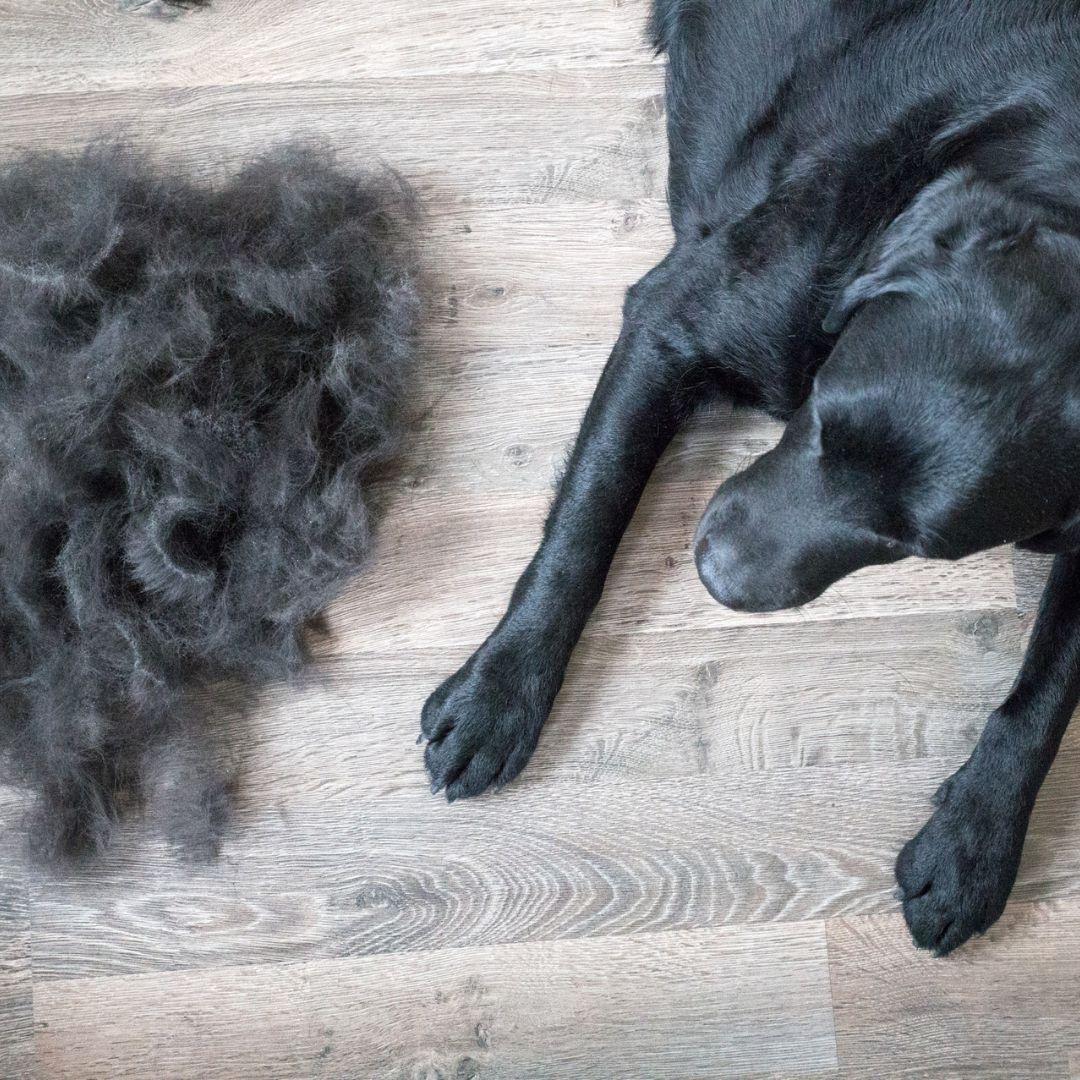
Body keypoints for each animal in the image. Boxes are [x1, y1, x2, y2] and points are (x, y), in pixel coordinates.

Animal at [419, 0, 1080, 954]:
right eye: (821, 418)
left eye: (911, 544)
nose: (716, 576)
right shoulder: (670, 322)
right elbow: (587, 521)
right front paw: (500, 692)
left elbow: (1047, 694)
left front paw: (975, 840)